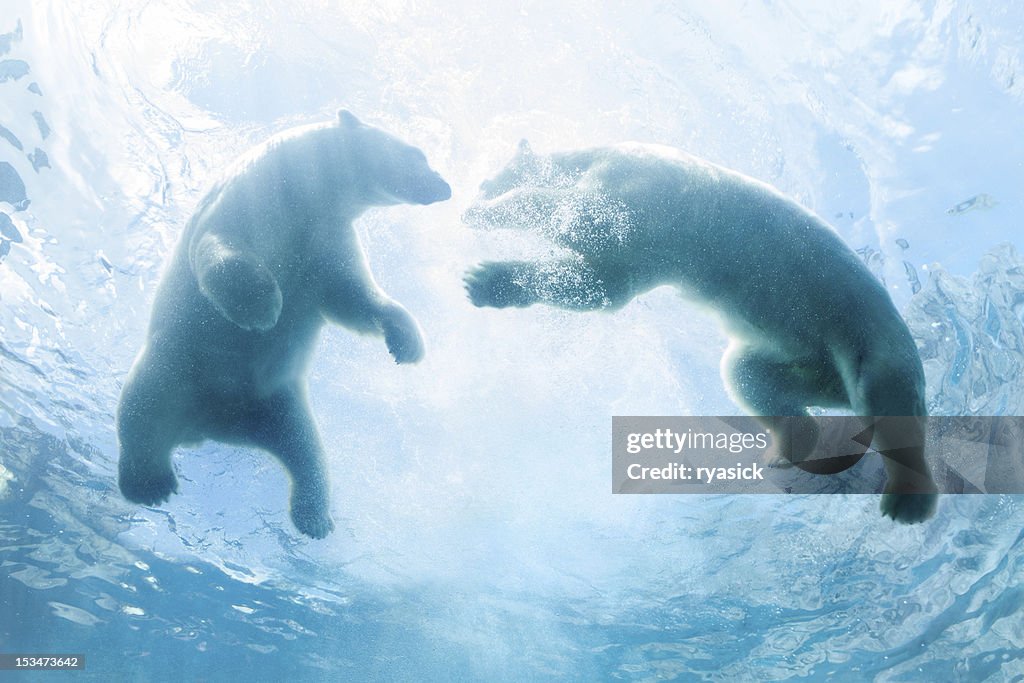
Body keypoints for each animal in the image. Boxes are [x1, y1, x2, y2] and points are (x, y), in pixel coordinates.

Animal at [117, 111, 451, 538]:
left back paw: (314, 518)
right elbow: (224, 249)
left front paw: (405, 341)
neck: (305, 193)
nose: (445, 186)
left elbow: (350, 296)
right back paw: (150, 483)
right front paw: (260, 308)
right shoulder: (251, 201)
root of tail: (209, 428)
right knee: (143, 403)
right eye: (418, 154)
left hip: (277, 402)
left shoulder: (324, 238)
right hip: (177, 363)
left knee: (306, 450)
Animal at [463, 140, 938, 524]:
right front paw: (483, 282)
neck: (594, 154)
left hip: (869, 338)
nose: (475, 193)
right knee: (749, 376)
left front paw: (488, 218)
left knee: (890, 406)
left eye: (488, 176)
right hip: (801, 361)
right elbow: (600, 285)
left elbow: (574, 217)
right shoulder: (642, 253)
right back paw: (782, 453)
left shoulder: (634, 188)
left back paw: (908, 501)